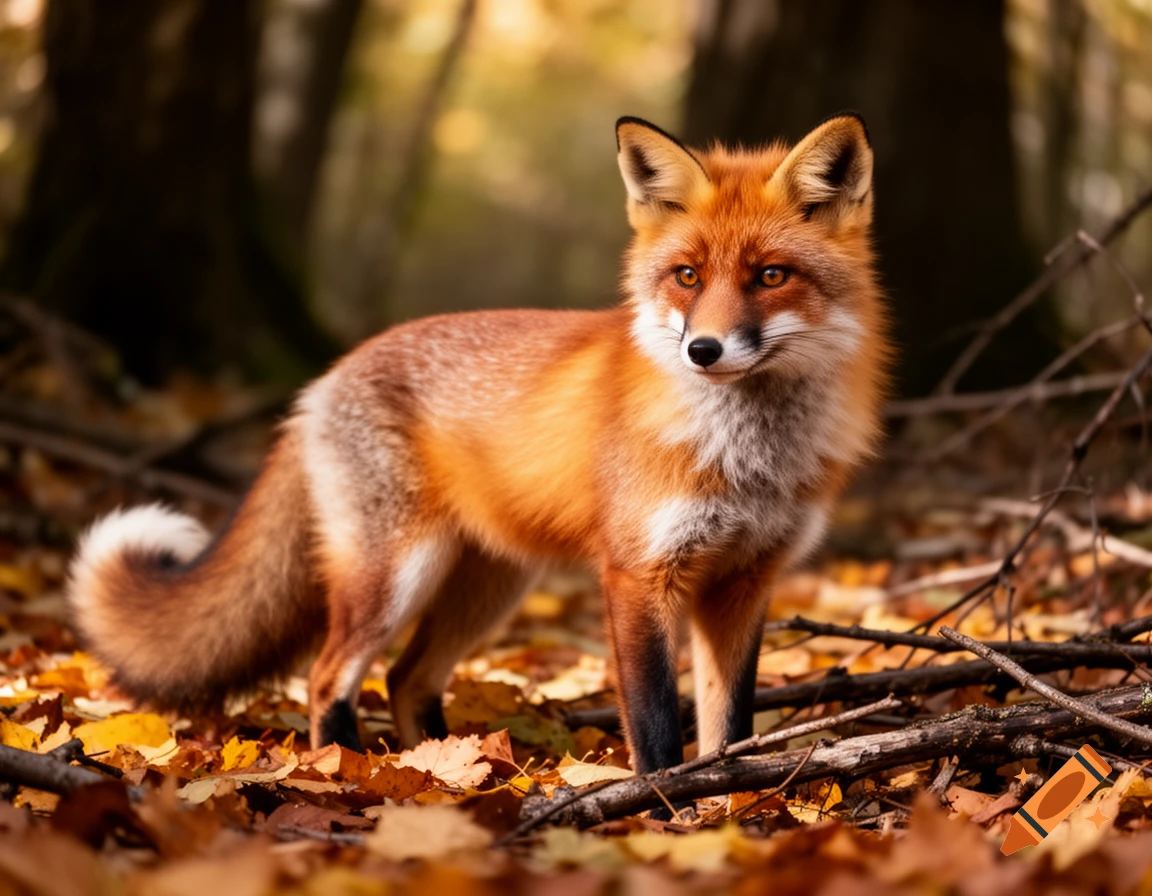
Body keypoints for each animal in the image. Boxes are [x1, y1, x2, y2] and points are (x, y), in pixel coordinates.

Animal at [66, 114, 888, 778]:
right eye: (687, 276)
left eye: (771, 276)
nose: (704, 351)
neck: (747, 460)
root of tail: (323, 378)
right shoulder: (637, 575)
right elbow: (656, 723)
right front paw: (661, 809)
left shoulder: (745, 580)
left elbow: (731, 723)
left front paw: (729, 799)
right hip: (395, 576)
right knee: (328, 674)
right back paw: (347, 770)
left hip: (488, 587)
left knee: (406, 679)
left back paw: (443, 767)